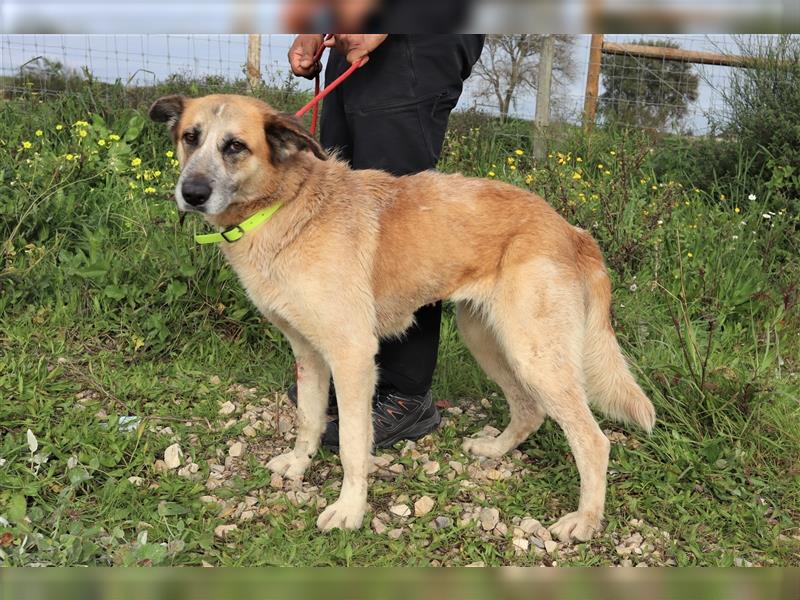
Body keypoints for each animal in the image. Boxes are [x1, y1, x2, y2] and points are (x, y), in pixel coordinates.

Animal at [150, 92, 656, 540]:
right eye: (191, 137)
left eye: (235, 146)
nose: (191, 193)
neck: (285, 206)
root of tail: (572, 230)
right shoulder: (308, 353)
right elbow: (310, 419)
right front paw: (297, 464)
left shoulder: (352, 355)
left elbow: (353, 446)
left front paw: (349, 510)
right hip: (488, 339)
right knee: (529, 410)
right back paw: (494, 448)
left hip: (535, 354)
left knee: (594, 441)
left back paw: (585, 521)